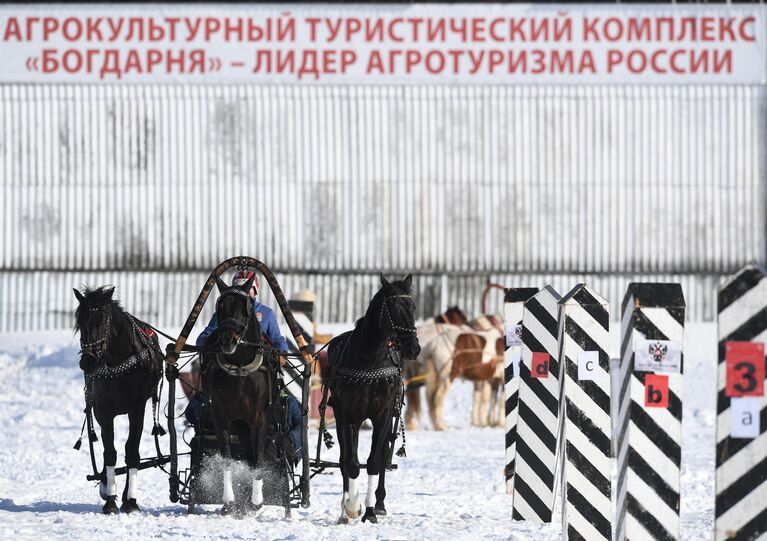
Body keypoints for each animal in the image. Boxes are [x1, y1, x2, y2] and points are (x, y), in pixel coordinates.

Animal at [73, 284, 164, 512]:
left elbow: (131, 451)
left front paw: (130, 501)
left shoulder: (137, 408)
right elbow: (110, 453)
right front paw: (110, 498)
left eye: (102, 320)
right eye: (80, 322)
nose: (88, 362)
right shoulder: (103, 411)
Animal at [201, 276, 288, 516]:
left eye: (244, 308)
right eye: (220, 307)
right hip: (240, 425)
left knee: (252, 455)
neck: (240, 368)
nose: (227, 340)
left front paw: (256, 500)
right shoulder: (221, 417)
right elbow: (227, 459)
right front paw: (229, 501)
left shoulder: (259, 417)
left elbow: (257, 459)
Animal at [322, 274, 424, 524]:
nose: (414, 348)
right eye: (394, 307)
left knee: (383, 454)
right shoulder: (347, 416)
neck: (368, 360)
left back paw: (379, 504)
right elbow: (350, 463)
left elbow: (375, 462)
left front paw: (369, 511)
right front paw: (351, 507)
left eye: (413, 307)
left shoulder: (383, 415)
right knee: (345, 458)